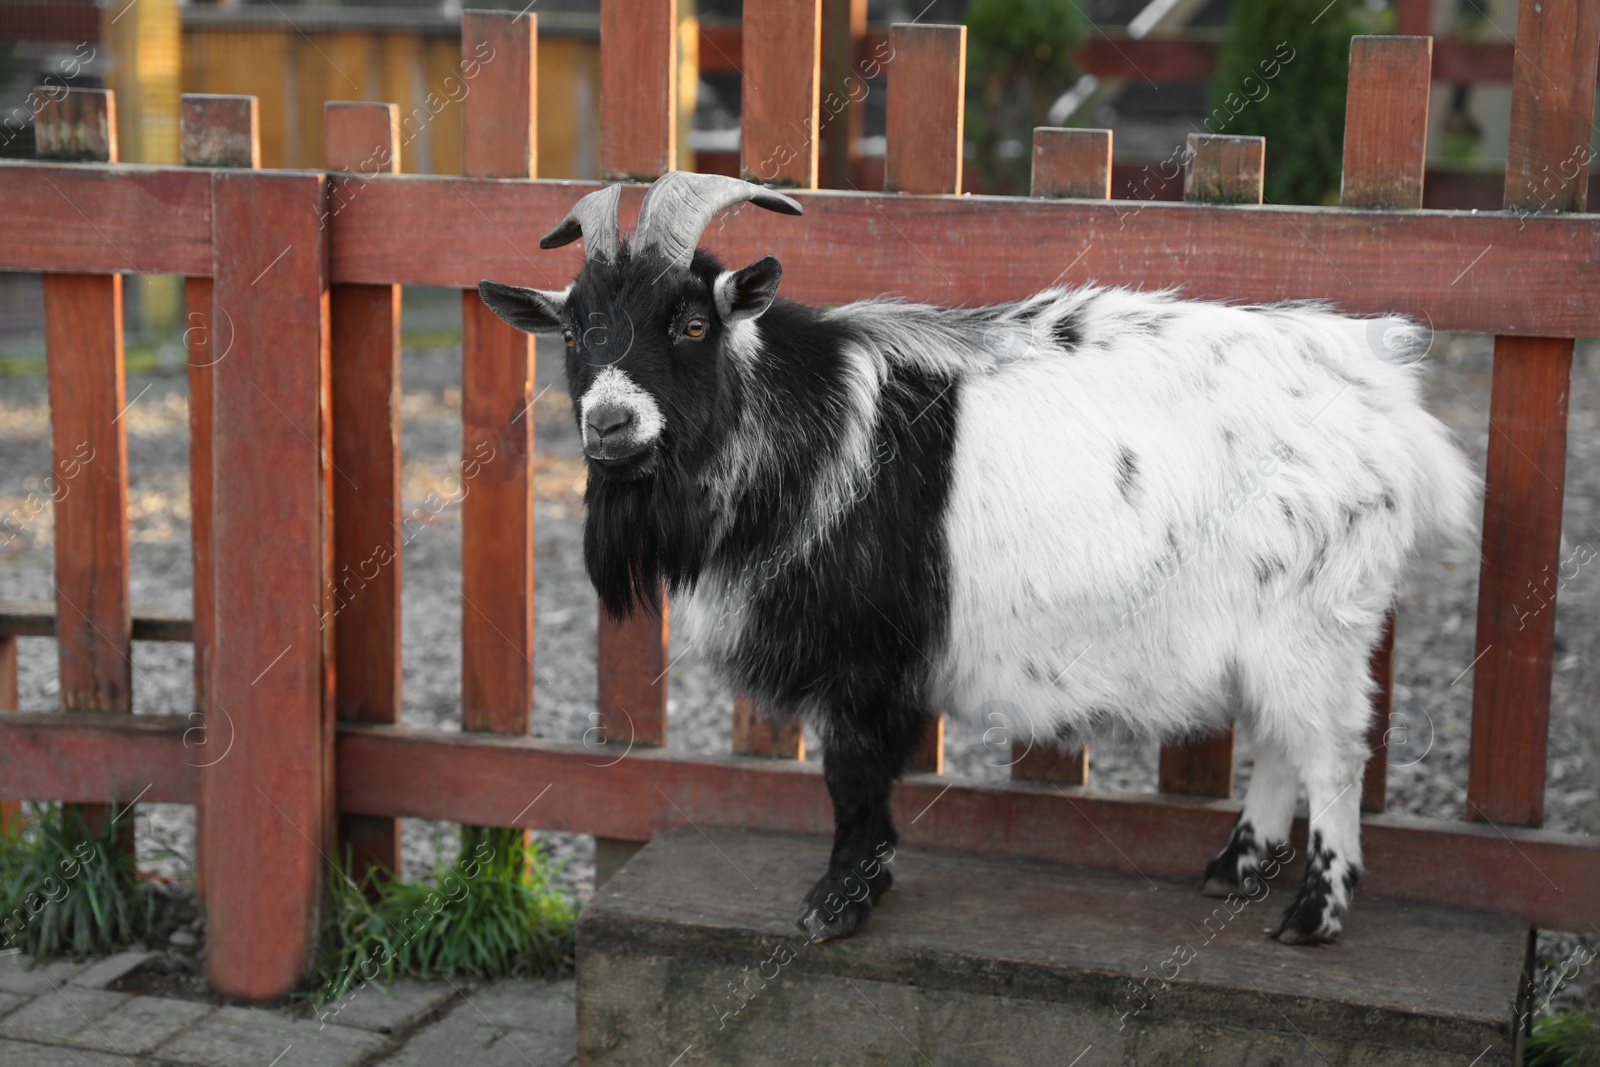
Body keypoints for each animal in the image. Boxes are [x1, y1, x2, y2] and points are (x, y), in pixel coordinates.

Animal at [473, 171, 1472, 947]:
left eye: (688, 323)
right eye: (575, 332)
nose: (609, 424)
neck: (799, 425)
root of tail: (1384, 385)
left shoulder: (868, 655)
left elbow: (853, 774)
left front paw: (838, 901)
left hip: (1317, 618)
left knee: (1333, 748)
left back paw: (1314, 913)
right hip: (1266, 624)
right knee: (1276, 735)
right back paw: (1233, 866)